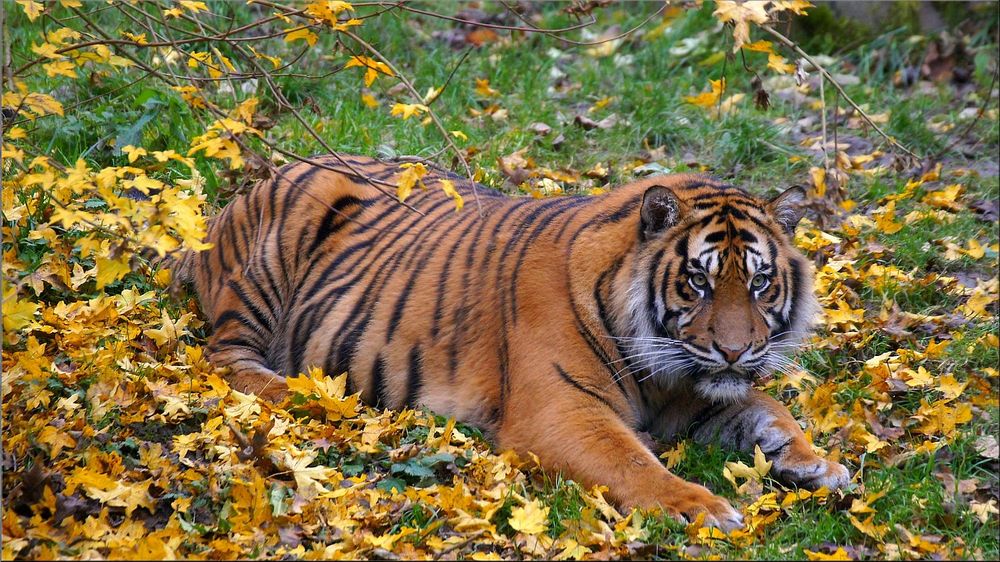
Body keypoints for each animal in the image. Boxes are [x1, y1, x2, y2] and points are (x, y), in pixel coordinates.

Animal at [176, 154, 848, 528]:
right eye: (698, 281)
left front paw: (819, 463)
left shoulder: (694, 394)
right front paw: (703, 507)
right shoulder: (562, 411)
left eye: (759, 282)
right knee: (227, 359)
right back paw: (305, 393)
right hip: (261, 283)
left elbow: (769, 411)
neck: (664, 368)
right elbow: (634, 461)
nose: (736, 352)